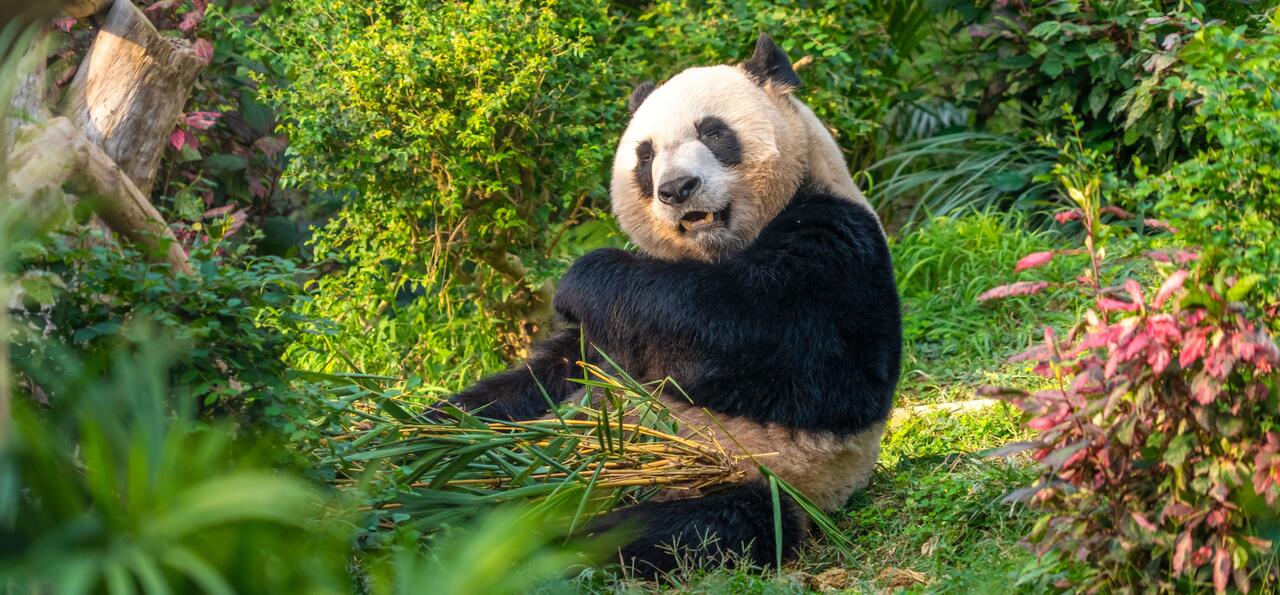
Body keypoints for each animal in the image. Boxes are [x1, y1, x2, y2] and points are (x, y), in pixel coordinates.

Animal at [449, 33, 901, 575]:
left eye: (713, 131)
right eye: (645, 156)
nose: (677, 189)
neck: (715, 250)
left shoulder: (839, 243)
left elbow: (786, 349)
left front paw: (582, 277)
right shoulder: (604, 340)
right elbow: (556, 370)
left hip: (745, 477)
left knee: (671, 528)